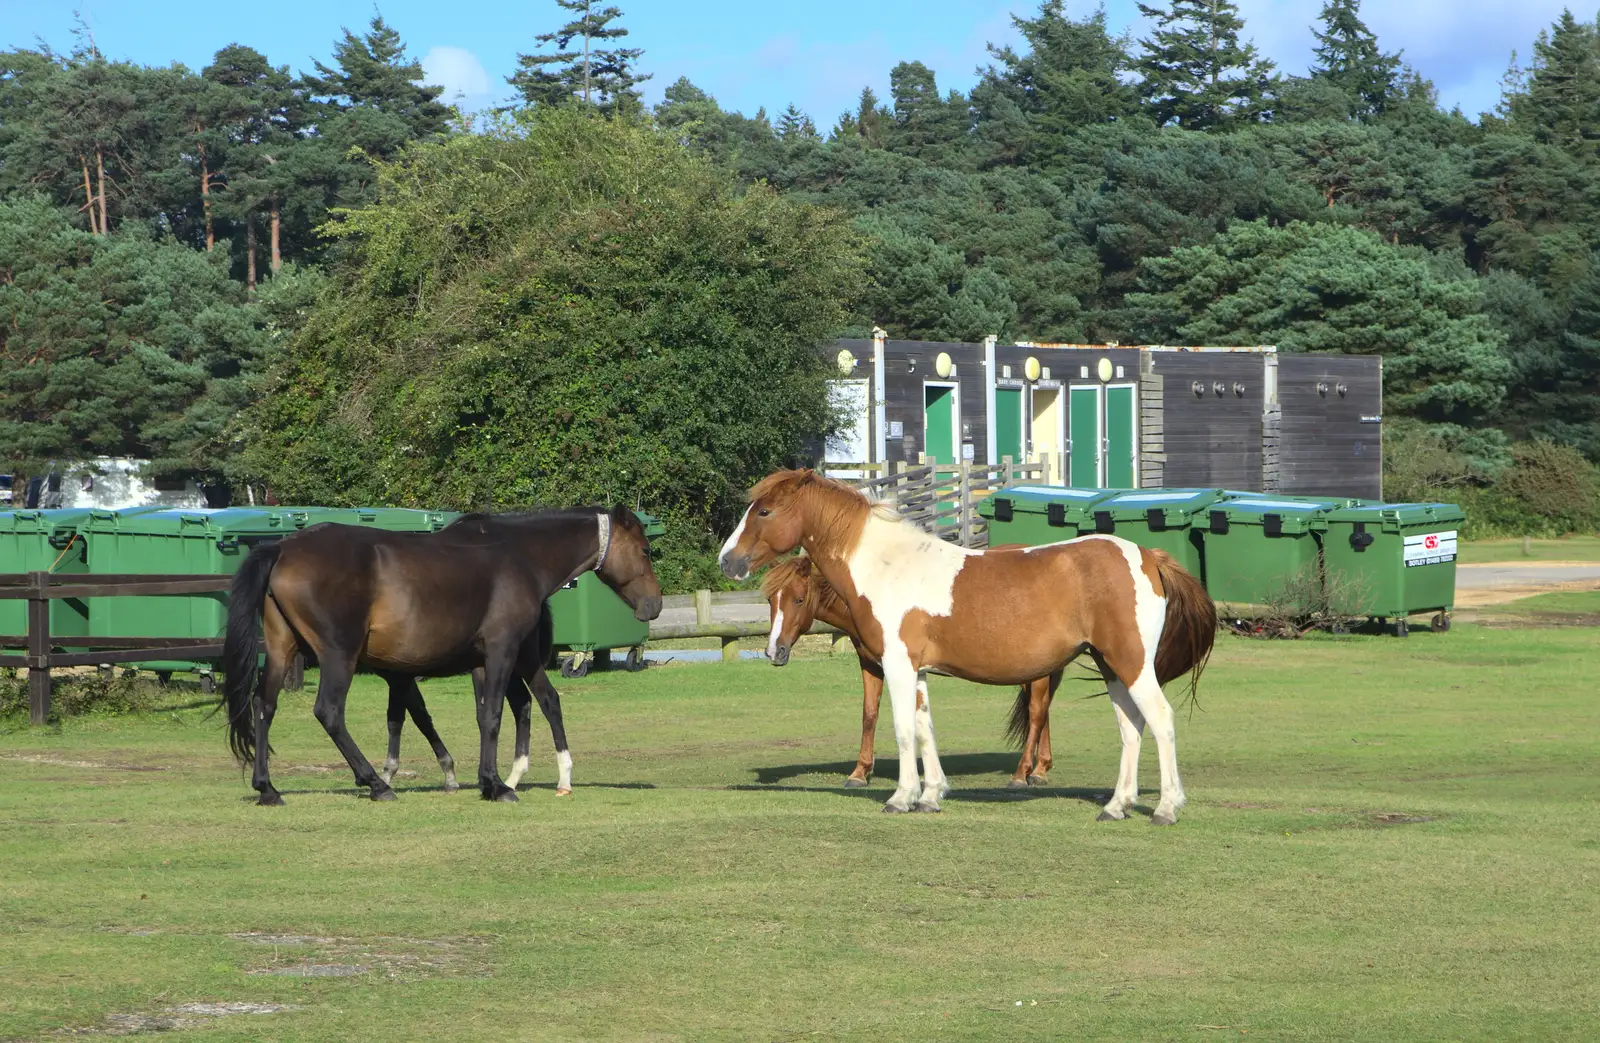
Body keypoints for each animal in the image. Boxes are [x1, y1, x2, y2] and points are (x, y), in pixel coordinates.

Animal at [220, 505, 662, 806]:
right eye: (645, 550)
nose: (654, 605)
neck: (519, 554)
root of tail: (282, 546)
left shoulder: (487, 660)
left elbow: (494, 712)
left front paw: (491, 780)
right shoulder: (501, 650)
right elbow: (493, 714)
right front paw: (496, 785)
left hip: (282, 649)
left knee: (263, 705)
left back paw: (268, 788)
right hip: (338, 656)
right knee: (329, 712)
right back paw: (375, 783)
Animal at [720, 470, 1216, 825]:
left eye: (764, 511)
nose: (727, 560)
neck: (887, 566)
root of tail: (1148, 556)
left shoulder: (897, 666)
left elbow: (903, 730)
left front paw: (901, 797)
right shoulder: (917, 671)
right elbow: (925, 728)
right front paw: (931, 795)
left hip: (1131, 664)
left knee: (1160, 720)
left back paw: (1165, 808)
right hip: (1112, 666)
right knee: (1131, 727)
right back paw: (1116, 805)